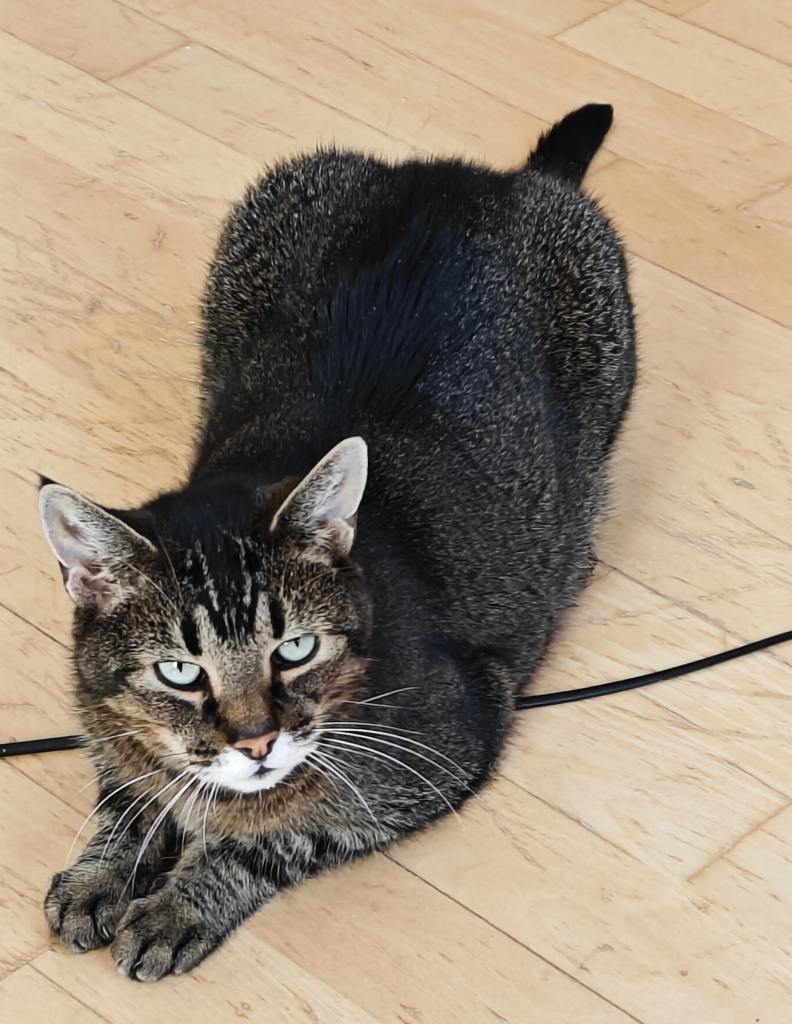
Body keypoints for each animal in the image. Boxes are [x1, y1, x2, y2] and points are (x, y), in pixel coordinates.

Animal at [38, 105, 635, 983]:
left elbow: (276, 836)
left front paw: (182, 900)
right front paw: (104, 869)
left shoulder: (441, 754)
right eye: (180, 671)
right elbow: (130, 790)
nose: (256, 740)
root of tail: (473, 177)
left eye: (296, 649)